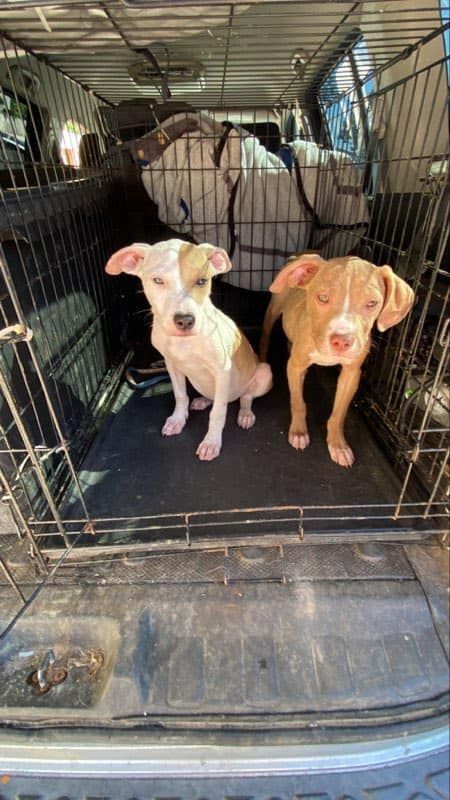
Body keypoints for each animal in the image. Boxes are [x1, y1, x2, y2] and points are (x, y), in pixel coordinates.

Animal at [105, 239, 272, 461]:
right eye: (157, 280)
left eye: (202, 281)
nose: (185, 320)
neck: (184, 343)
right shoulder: (171, 365)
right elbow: (180, 396)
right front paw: (177, 419)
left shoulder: (222, 370)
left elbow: (218, 412)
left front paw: (211, 442)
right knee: (215, 396)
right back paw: (203, 401)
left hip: (263, 373)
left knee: (245, 397)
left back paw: (245, 414)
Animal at [260, 253, 414, 467]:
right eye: (323, 297)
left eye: (372, 303)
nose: (342, 341)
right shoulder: (295, 367)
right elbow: (298, 402)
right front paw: (298, 432)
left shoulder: (351, 375)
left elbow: (339, 414)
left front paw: (338, 445)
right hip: (274, 308)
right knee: (265, 335)